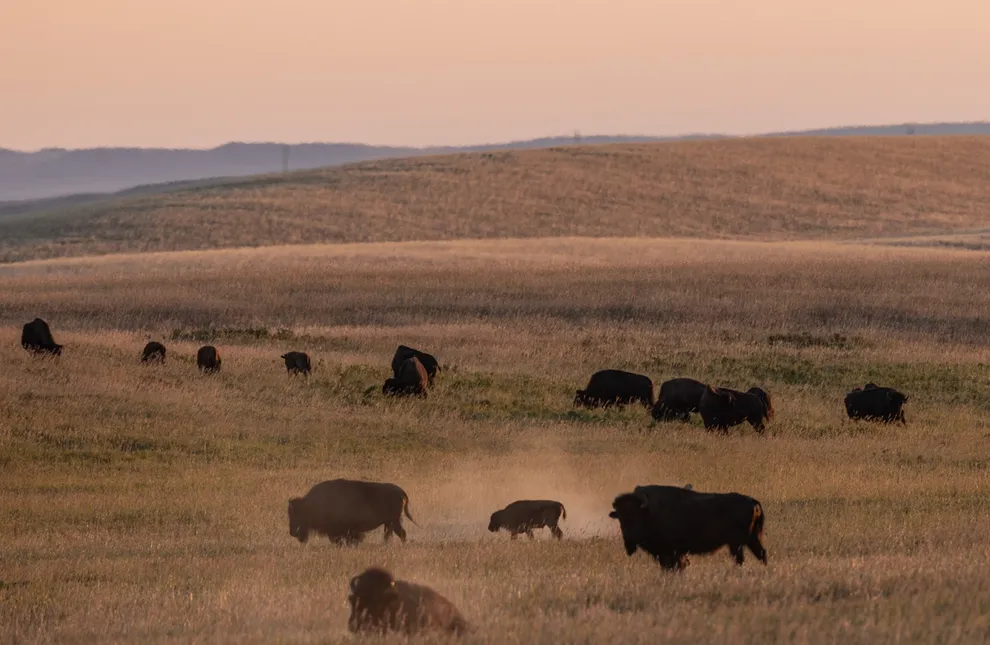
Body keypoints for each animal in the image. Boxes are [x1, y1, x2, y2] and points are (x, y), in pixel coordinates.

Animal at [288, 478, 416, 544]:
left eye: (297, 514)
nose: (293, 532)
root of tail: (400, 491)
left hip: (393, 521)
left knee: (400, 533)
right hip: (391, 522)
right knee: (393, 534)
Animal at [609, 484, 767, 570]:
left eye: (635, 516)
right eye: (620, 518)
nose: (629, 539)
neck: (648, 512)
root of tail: (753, 502)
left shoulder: (670, 553)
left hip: (736, 544)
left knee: (741, 559)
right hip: (751, 540)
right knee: (761, 554)